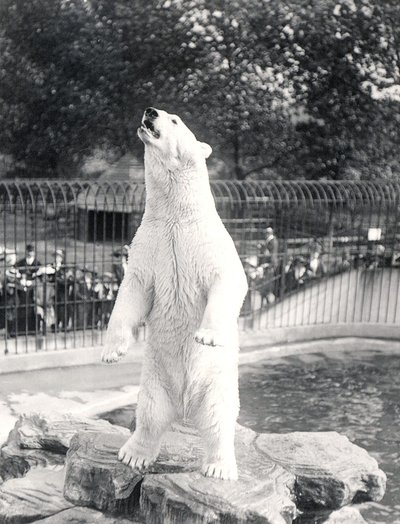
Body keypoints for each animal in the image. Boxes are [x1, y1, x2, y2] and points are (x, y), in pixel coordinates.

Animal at [101, 106, 247, 478]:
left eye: (175, 119)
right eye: (158, 112)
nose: (150, 111)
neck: (175, 215)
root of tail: (185, 410)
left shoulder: (207, 244)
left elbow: (229, 280)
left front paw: (207, 335)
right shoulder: (149, 244)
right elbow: (131, 291)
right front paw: (111, 352)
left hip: (217, 384)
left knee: (219, 418)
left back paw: (219, 467)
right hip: (155, 380)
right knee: (150, 414)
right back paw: (133, 454)